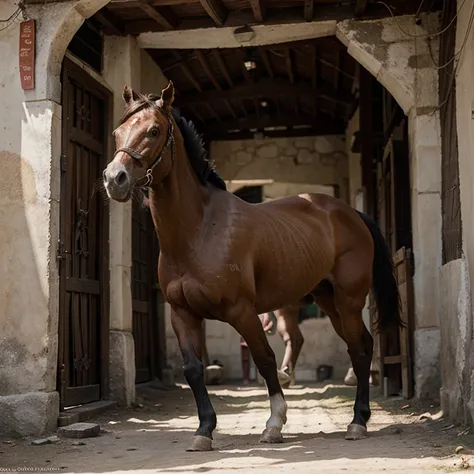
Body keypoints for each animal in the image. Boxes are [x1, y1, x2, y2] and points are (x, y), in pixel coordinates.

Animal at [103, 81, 400, 452]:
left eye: (154, 130)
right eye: (117, 132)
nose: (114, 178)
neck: (200, 230)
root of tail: (351, 214)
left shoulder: (242, 312)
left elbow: (265, 360)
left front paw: (274, 424)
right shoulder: (182, 314)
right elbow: (193, 369)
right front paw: (204, 430)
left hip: (348, 301)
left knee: (359, 351)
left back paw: (357, 421)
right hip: (329, 301)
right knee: (360, 345)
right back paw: (362, 416)